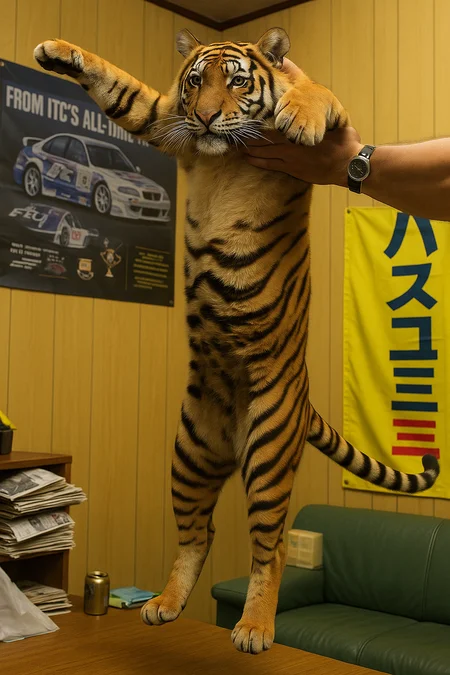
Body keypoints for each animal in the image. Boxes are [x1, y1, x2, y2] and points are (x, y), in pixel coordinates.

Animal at [34, 27, 440, 655]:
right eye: (195, 81)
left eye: (238, 81)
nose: (203, 118)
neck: (219, 150)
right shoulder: (162, 118)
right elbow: (117, 84)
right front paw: (58, 51)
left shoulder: (328, 125)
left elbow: (318, 93)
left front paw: (298, 117)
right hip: (188, 455)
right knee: (199, 533)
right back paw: (165, 605)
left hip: (269, 457)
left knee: (271, 548)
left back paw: (253, 628)